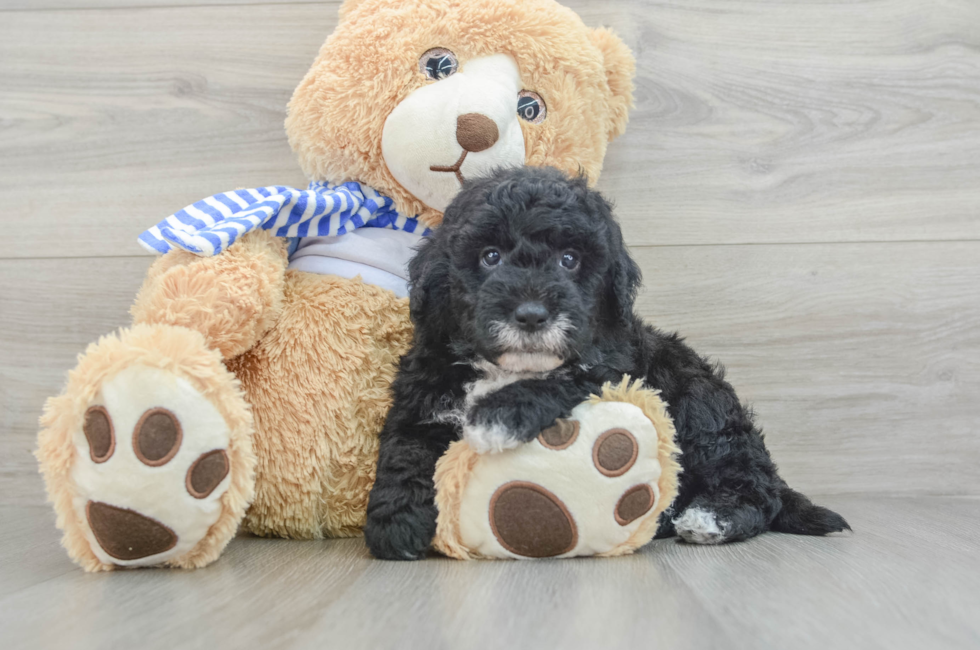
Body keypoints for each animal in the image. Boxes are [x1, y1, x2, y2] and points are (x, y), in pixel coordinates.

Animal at [364, 166, 848, 556]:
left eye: (569, 259)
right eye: (490, 256)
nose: (532, 314)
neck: (508, 367)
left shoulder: (618, 371)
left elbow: (566, 377)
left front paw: (498, 414)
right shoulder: (423, 392)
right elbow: (404, 450)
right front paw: (396, 523)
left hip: (701, 403)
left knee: (755, 487)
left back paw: (710, 518)